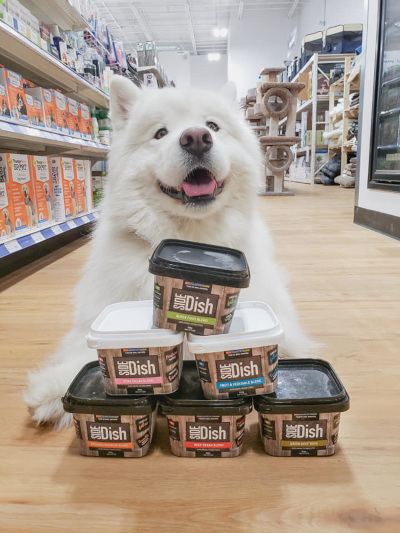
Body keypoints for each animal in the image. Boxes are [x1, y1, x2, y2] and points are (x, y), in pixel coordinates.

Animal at [24, 78, 316, 428]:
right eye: (160, 133)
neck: (190, 238)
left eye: (213, 126)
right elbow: (89, 346)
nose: (196, 138)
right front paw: (55, 388)